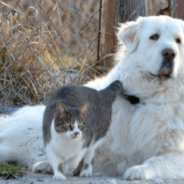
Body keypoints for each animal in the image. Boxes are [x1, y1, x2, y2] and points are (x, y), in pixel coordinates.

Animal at [1, 15, 184, 180]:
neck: (144, 99)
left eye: (178, 40)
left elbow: (156, 160)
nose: (170, 53)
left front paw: (138, 170)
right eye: (154, 37)